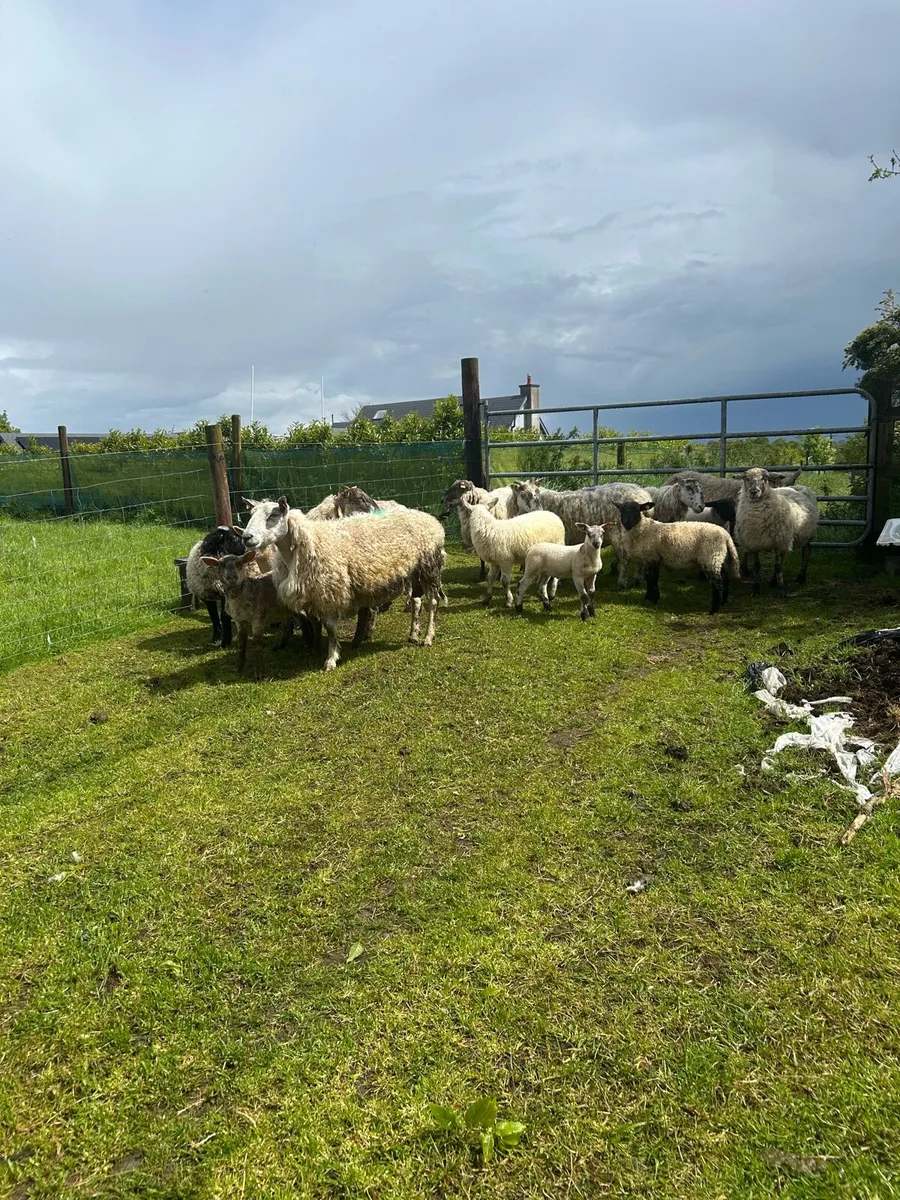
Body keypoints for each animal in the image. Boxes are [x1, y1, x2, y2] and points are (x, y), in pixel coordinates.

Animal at [199, 549, 295, 678]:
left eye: (240, 563)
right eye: (221, 565)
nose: (232, 577)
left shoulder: (257, 618)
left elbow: (257, 643)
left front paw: (259, 673)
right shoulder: (239, 620)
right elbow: (241, 642)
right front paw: (238, 667)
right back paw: (282, 644)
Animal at [243, 497, 445, 670]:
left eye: (273, 515)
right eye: (251, 514)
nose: (246, 537)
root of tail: (429, 519)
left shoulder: (330, 592)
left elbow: (331, 630)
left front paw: (331, 659)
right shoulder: (313, 595)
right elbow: (316, 624)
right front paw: (315, 647)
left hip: (429, 567)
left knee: (433, 602)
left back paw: (428, 637)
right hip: (413, 573)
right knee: (416, 601)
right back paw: (413, 634)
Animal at [613, 500, 742, 614]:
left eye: (637, 511)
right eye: (622, 511)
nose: (627, 524)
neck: (644, 529)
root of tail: (726, 536)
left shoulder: (652, 556)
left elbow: (652, 579)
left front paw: (653, 599)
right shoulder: (650, 558)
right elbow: (650, 578)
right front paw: (649, 597)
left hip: (711, 557)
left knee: (717, 584)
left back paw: (714, 610)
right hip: (719, 557)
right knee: (725, 578)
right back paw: (723, 601)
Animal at [734, 467, 820, 597]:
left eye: (764, 478)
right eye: (745, 478)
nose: (754, 492)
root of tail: (799, 486)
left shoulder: (780, 542)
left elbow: (778, 566)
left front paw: (781, 590)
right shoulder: (754, 543)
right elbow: (756, 567)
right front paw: (755, 589)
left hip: (806, 534)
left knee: (806, 551)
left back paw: (801, 577)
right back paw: (773, 581)